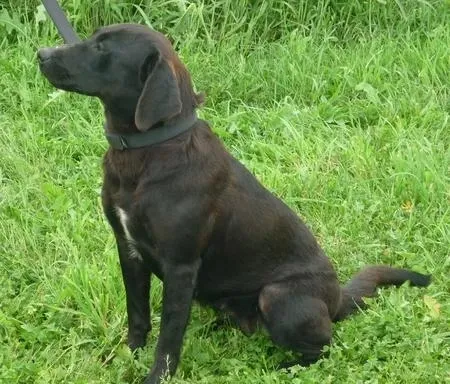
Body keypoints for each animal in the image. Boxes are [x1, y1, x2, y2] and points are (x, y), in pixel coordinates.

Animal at [37, 24, 428, 384]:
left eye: (102, 48)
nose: (41, 54)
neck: (151, 148)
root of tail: (337, 299)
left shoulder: (180, 266)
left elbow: (169, 338)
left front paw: (156, 376)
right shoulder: (128, 249)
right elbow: (138, 315)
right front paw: (129, 354)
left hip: (277, 295)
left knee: (323, 347)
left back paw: (283, 367)